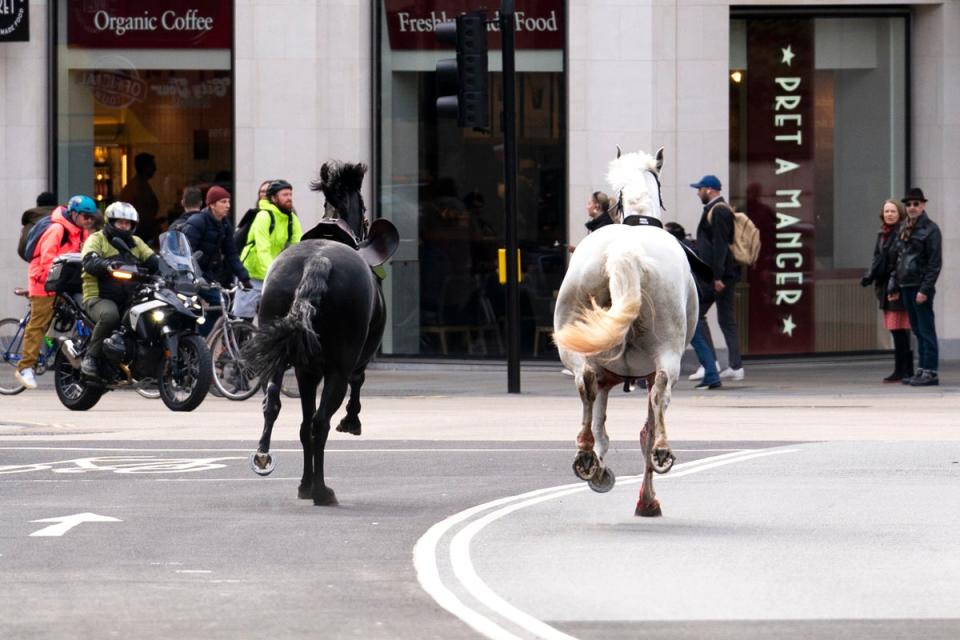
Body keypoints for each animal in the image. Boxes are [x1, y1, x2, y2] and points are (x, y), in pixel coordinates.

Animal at [244, 161, 394, 504]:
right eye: (363, 205)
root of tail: (319, 261)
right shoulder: (353, 361)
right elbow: (357, 383)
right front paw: (351, 421)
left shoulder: (305, 372)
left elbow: (300, 424)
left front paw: (303, 483)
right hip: (338, 367)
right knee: (320, 422)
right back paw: (322, 491)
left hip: (282, 357)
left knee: (277, 407)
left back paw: (270, 460)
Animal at [556, 148, 696, 516]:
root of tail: (624, 252)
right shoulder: (639, 373)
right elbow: (643, 427)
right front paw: (646, 499)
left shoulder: (606, 375)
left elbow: (601, 423)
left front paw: (599, 467)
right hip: (667, 353)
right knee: (660, 396)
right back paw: (661, 451)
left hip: (575, 345)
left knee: (585, 385)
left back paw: (585, 456)